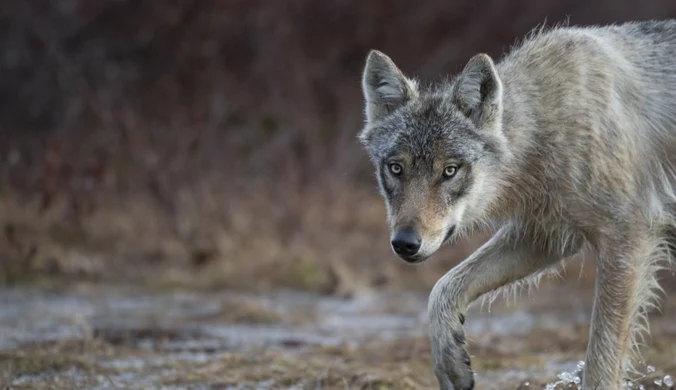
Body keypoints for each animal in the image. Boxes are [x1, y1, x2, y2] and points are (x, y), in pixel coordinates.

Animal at [362, 19, 676, 390]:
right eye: (396, 168)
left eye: (450, 170)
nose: (405, 243)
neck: (547, 126)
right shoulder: (545, 236)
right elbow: (442, 288)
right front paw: (451, 364)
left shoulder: (628, 240)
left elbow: (601, 361)